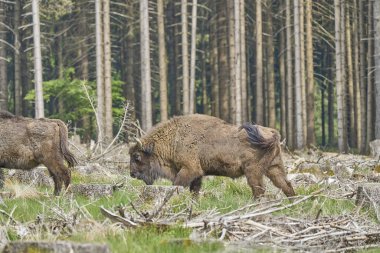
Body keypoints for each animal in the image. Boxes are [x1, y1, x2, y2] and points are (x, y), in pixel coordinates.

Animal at [129, 113, 296, 199]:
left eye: (137, 156)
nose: (132, 174)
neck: (174, 138)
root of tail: (272, 132)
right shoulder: (197, 174)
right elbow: (194, 190)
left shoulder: (189, 169)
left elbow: (177, 185)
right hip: (274, 167)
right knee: (286, 185)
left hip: (253, 171)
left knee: (259, 189)